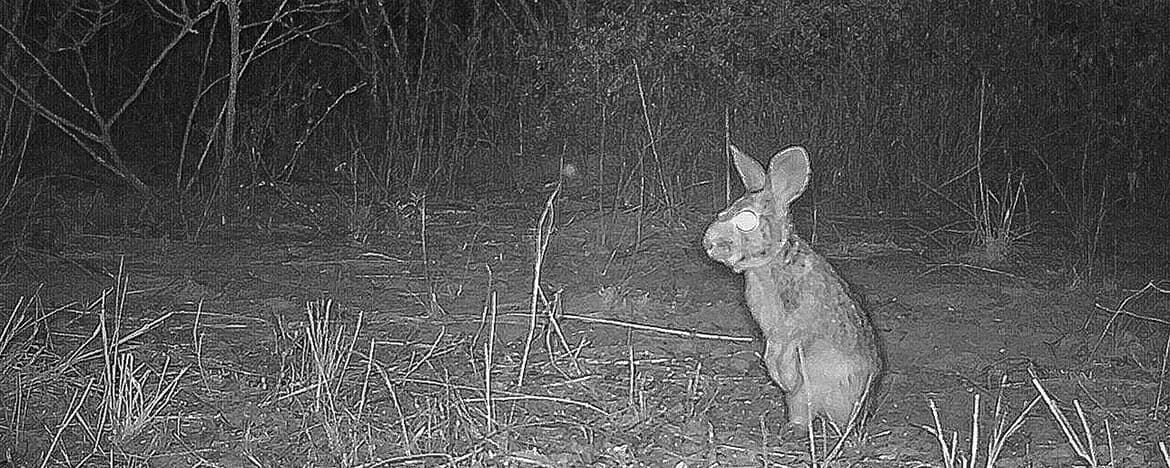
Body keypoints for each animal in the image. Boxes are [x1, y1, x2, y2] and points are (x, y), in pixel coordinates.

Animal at [702, 144, 879, 430]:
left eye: (746, 221)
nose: (708, 243)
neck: (770, 263)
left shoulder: (796, 323)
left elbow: (784, 343)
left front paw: (783, 374)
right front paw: (778, 374)